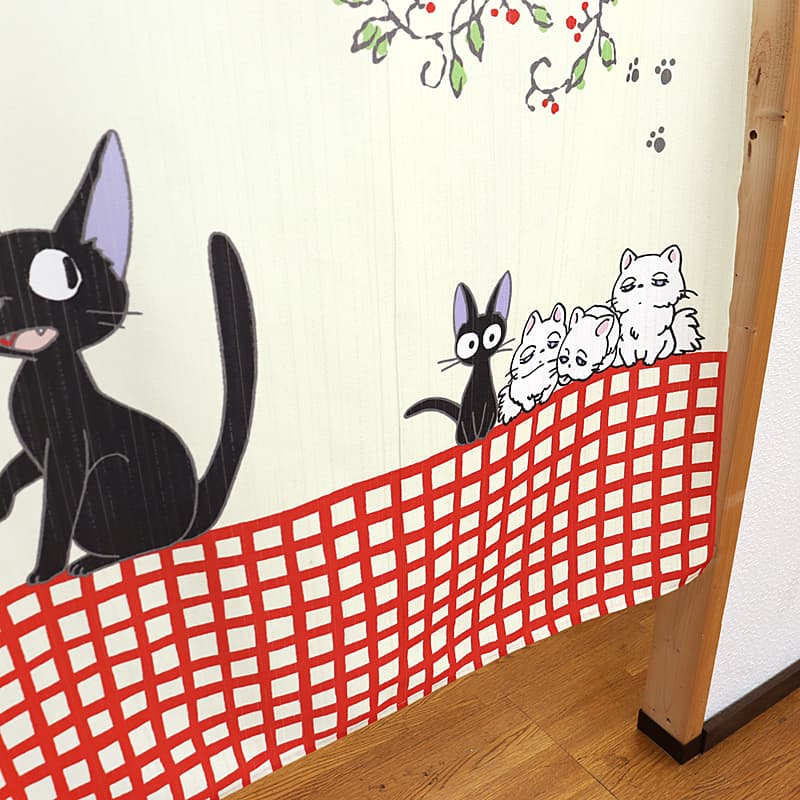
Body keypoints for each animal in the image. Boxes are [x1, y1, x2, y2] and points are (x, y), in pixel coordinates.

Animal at [0, 131, 257, 584]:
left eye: (63, 274)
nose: (9, 303)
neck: (44, 375)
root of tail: (194, 510)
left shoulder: (69, 448)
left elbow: (56, 514)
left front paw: (44, 571)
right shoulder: (36, 449)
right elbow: (19, 466)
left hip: (111, 477)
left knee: (143, 542)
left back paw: (92, 561)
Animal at [405, 272, 512, 445]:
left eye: (492, 336)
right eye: (470, 344)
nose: (481, 351)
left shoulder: (489, 410)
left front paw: (483, 435)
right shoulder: (471, 413)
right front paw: (473, 438)